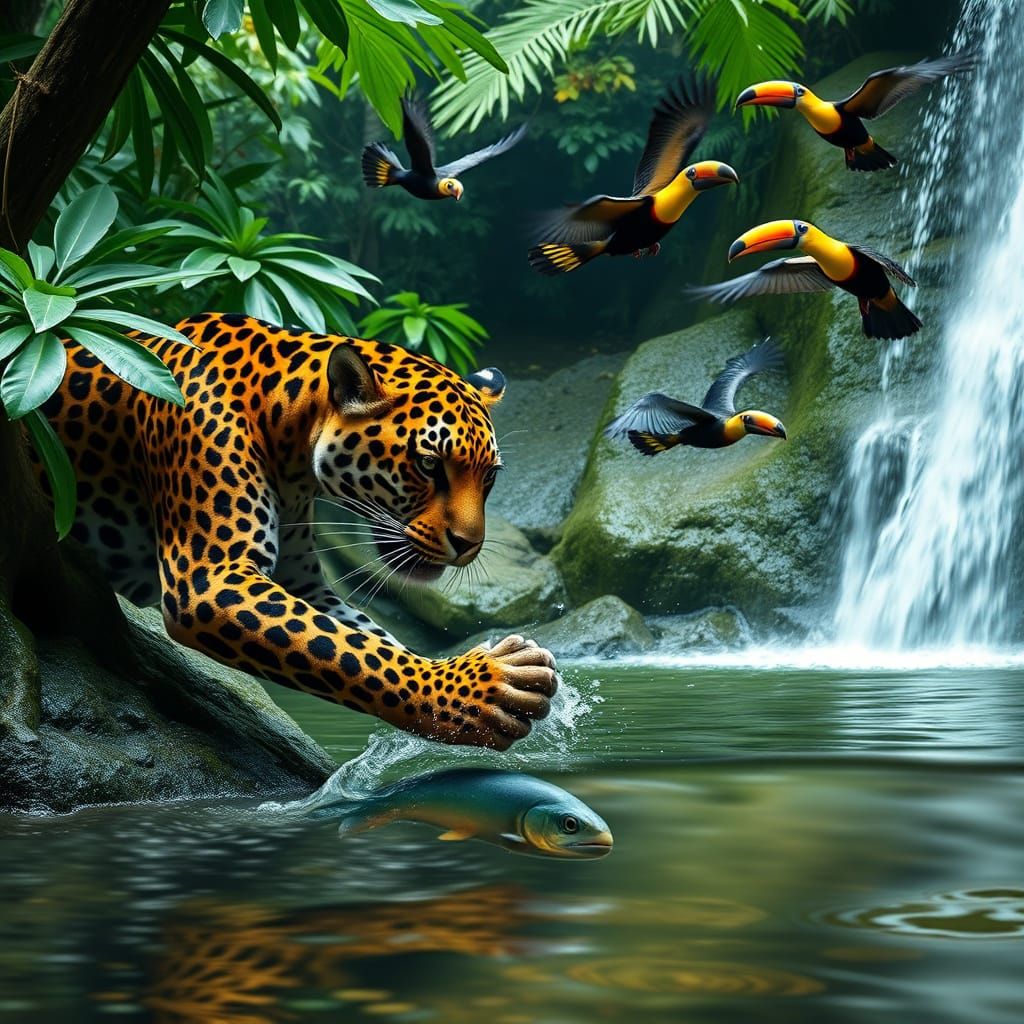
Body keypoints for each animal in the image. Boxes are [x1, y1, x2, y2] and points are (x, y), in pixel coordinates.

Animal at [37, 312, 557, 750]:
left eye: (489, 476)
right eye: (429, 464)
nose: (469, 546)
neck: (286, 430)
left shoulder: (302, 582)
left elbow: (367, 646)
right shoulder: (213, 577)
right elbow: (354, 655)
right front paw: (481, 692)